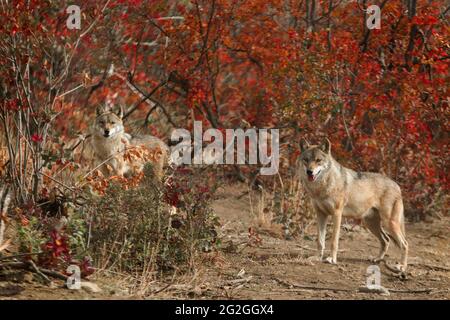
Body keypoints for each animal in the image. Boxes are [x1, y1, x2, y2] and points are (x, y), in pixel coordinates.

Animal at [298, 139, 408, 272]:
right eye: (306, 160)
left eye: (318, 160)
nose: (309, 171)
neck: (321, 188)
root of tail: (397, 186)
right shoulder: (320, 215)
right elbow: (320, 241)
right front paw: (318, 258)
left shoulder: (337, 214)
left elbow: (333, 241)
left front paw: (331, 259)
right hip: (370, 224)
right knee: (386, 240)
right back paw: (377, 259)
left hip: (389, 223)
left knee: (405, 244)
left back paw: (401, 266)